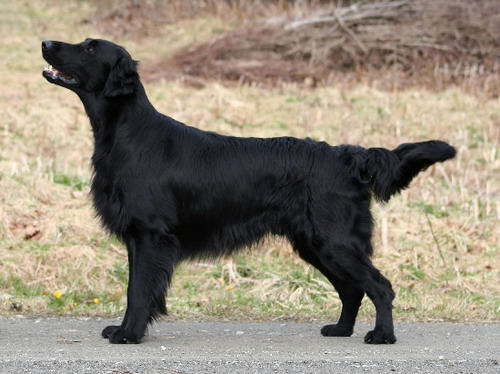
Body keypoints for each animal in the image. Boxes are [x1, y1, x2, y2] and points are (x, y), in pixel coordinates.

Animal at [43, 38, 456, 344]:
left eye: (89, 48)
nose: (46, 42)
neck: (128, 133)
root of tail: (347, 156)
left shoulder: (150, 235)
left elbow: (139, 291)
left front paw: (129, 334)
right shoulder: (137, 237)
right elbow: (135, 288)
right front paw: (126, 328)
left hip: (335, 241)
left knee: (380, 287)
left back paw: (382, 335)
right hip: (315, 244)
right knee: (352, 289)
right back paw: (341, 329)